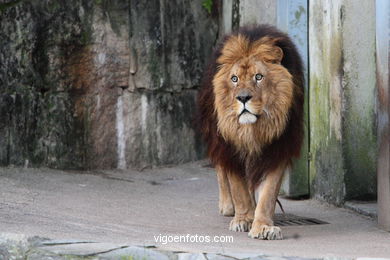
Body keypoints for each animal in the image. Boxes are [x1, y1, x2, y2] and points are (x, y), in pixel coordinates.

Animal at [198, 24, 304, 240]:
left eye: (259, 77)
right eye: (234, 79)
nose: (243, 98)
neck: (252, 130)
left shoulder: (277, 149)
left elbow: (268, 193)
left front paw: (262, 226)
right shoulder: (229, 148)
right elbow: (238, 189)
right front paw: (243, 219)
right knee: (221, 170)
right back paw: (228, 206)